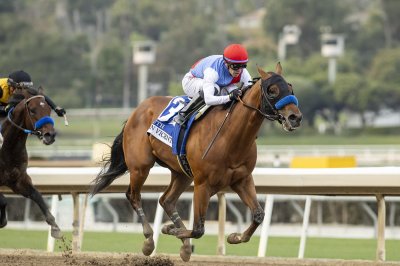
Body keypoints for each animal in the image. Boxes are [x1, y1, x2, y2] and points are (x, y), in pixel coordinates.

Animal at [0, 87, 62, 239]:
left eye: (48, 109)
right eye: (33, 110)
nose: (50, 135)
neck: (7, 147)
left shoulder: (18, 180)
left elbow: (37, 195)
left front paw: (55, 227)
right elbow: (3, 200)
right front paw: (2, 220)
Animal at [91, 62, 304, 260]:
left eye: (290, 87)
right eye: (272, 90)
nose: (295, 117)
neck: (230, 137)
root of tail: (137, 110)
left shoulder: (242, 180)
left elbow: (259, 215)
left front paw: (234, 236)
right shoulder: (203, 184)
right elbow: (198, 229)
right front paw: (171, 230)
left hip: (182, 173)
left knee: (166, 200)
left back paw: (184, 247)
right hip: (140, 167)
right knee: (134, 196)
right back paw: (149, 240)